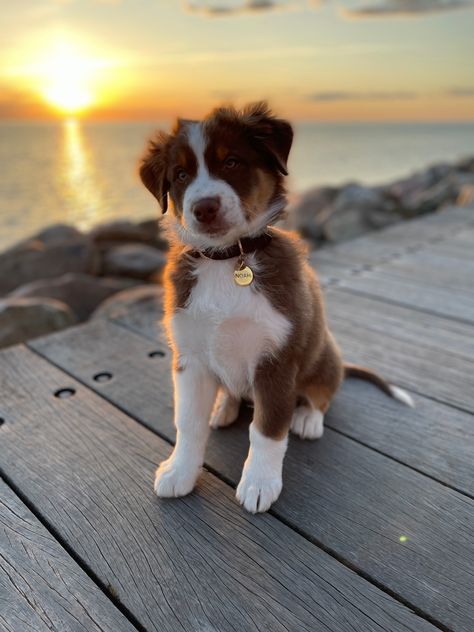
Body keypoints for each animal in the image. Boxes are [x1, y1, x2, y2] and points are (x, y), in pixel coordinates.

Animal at [139, 100, 412, 512]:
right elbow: (187, 422)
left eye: (232, 162)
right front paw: (180, 471)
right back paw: (223, 408)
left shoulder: (276, 359)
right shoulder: (190, 357)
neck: (227, 260)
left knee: (322, 393)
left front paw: (259, 483)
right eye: (181, 174)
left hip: (324, 355)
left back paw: (308, 419)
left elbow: (266, 430)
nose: (204, 208)